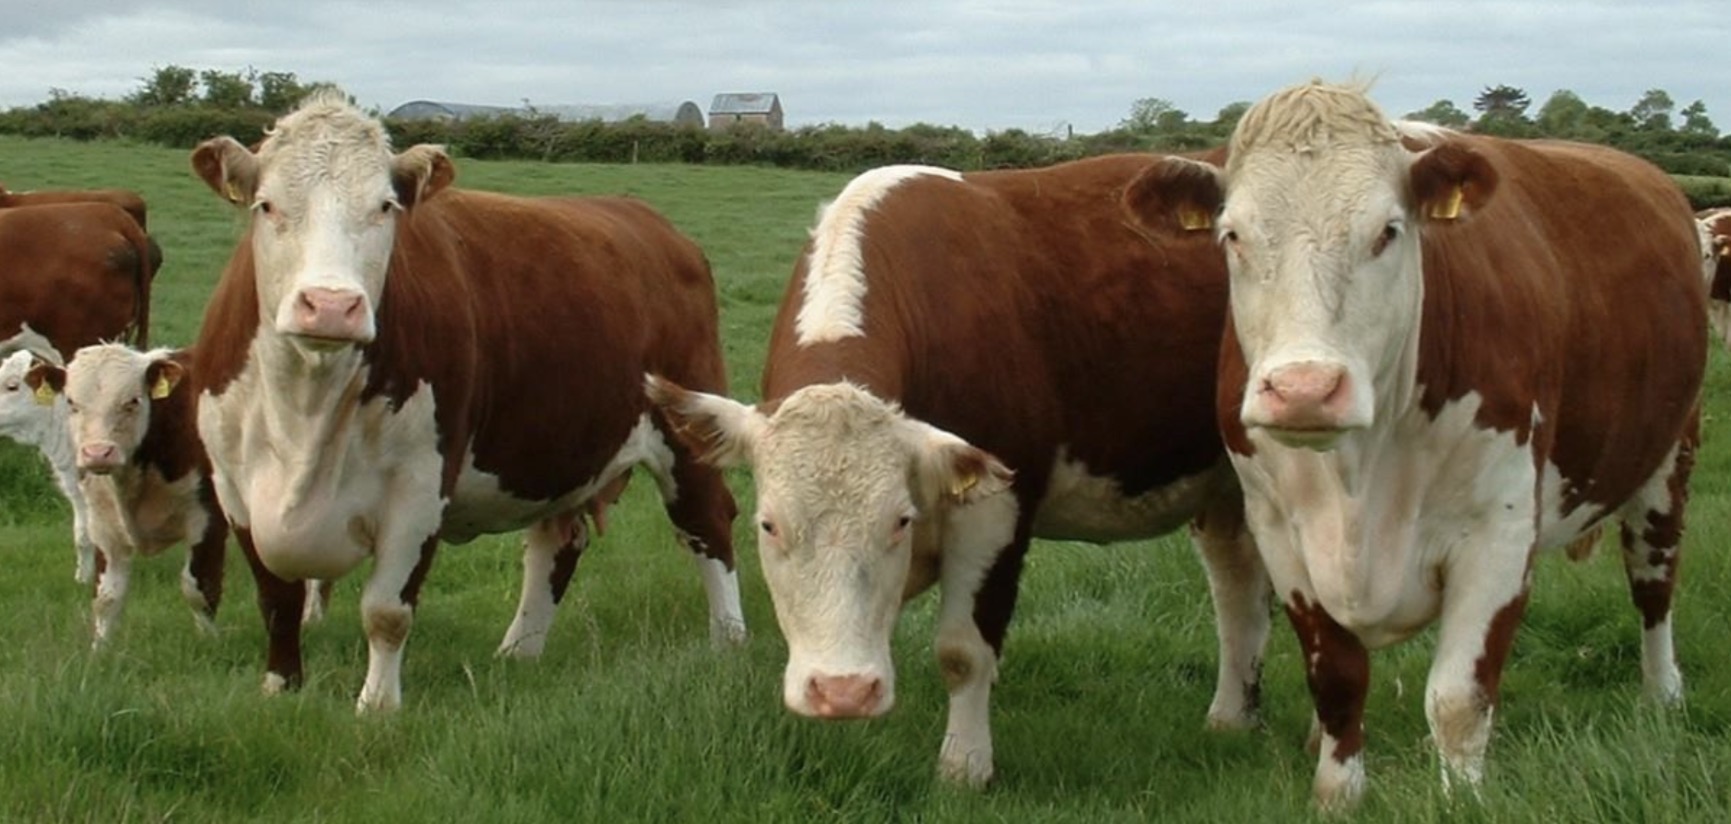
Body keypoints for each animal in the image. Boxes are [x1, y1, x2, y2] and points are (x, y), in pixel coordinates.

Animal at [25, 345, 227, 647]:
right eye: (71, 403)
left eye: (133, 401)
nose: (97, 453)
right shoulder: (104, 527)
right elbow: (106, 598)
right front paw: (100, 651)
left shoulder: (208, 519)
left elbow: (199, 587)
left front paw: (210, 643)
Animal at [188, 90, 745, 712]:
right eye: (266, 205)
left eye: (385, 207)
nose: (331, 306)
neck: (306, 401)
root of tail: (649, 221)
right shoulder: (235, 489)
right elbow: (277, 599)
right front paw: (281, 687)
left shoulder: (420, 486)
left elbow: (386, 612)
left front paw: (377, 708)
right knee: (558, 543)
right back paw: (518, 653)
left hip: (685, 426)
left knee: (708, 523)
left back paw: (729, 641)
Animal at [647, 153, 1273, 788]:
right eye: (769, 526)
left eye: (898, 521)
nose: (841, 692)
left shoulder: (996, 508)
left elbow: (962, 652)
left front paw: (965, 765)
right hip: (1225, 489)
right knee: (1237, 590)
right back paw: (1232, 715)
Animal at [1120, 80, 1705, 809]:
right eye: (1233, 236)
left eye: (1387, 232)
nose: (1305, 388)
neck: (1360, 475)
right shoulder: (1281, 533)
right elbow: (1337, 678)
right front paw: (1335, 793)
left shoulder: (1498, 535)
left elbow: (1458, 696)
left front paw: (1463, 800)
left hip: (1668, 461)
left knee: (1654, 584)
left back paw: (1662, 694)